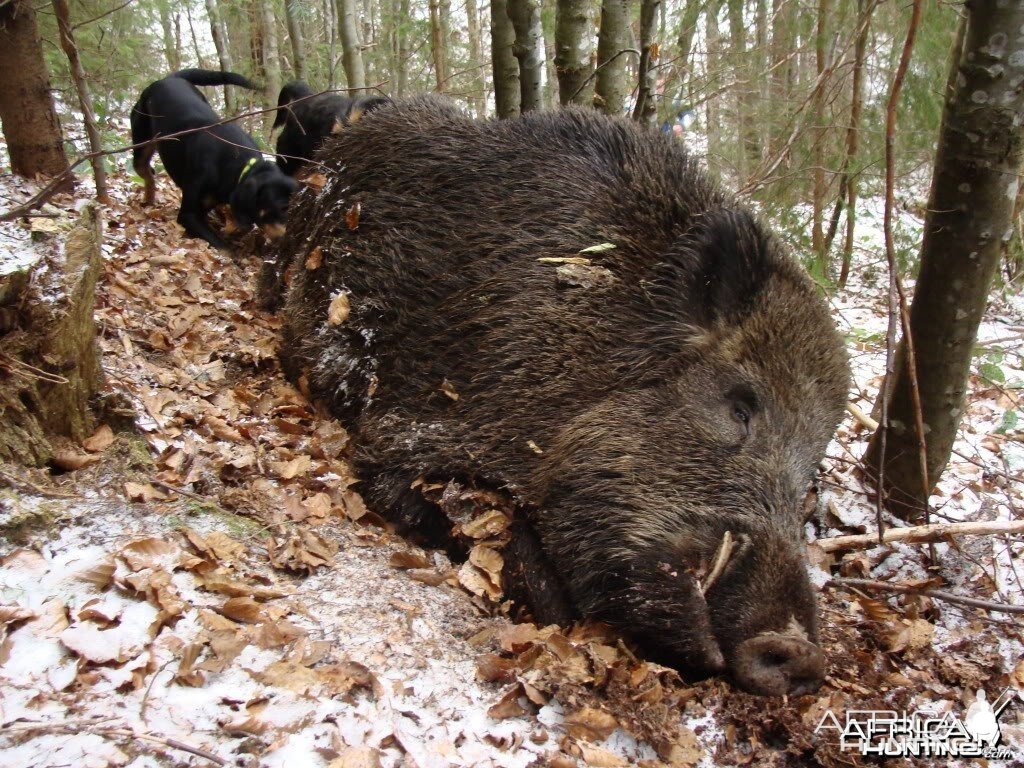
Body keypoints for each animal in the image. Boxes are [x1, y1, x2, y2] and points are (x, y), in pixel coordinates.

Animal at [128, 69, 296, 249]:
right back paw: (148, 199)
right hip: (142, 139)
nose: (287, 240)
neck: (238, 164)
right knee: (145, 172)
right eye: (282, 208)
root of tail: (167, 79)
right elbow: (221, 245)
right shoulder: (189, 215)